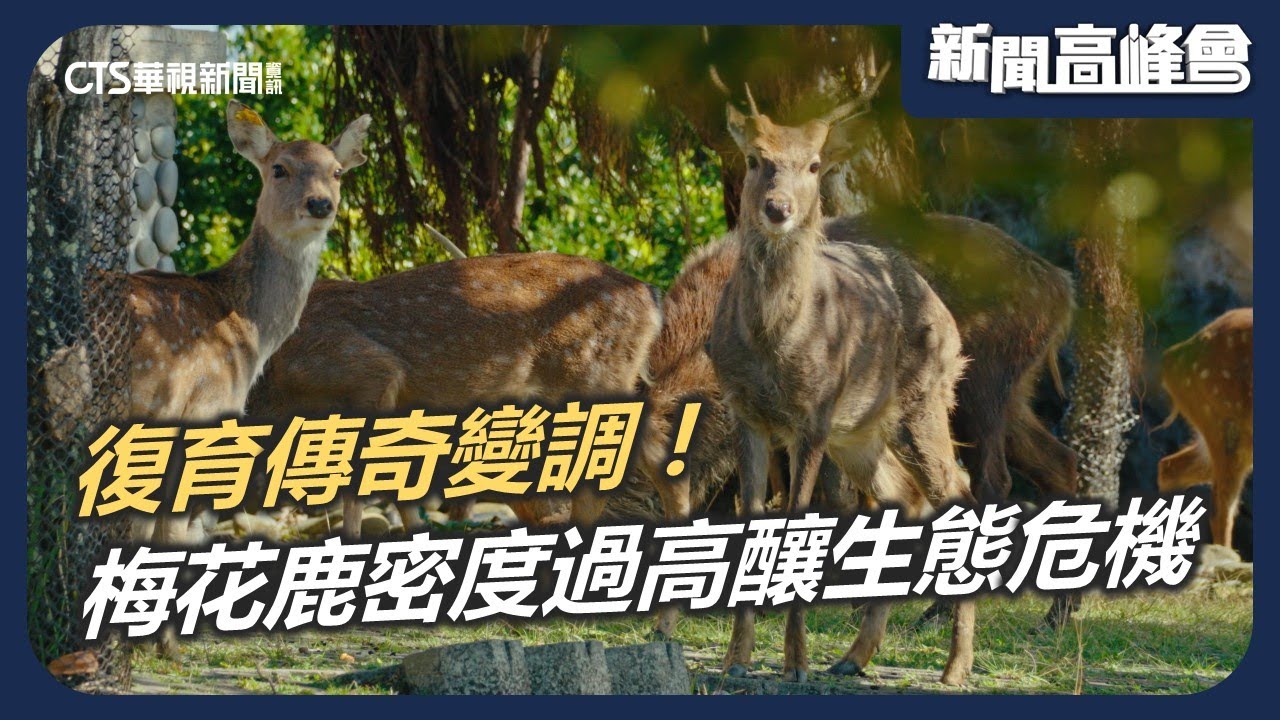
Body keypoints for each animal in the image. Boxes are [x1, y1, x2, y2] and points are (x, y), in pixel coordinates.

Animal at [705, 87, 976, 685]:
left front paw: (795, 663)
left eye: (813, 165)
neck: (774, 344)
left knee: (959, 490)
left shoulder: (814, 414)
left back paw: (955, 668)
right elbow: (750, 522)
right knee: (906, 495)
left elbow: (798, 519)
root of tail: (950, 321)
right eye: (755, 158)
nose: (778, 208)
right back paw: (854, 656)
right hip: (860, 432)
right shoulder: (744, 411)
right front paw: (737, 661)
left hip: (923, 402)